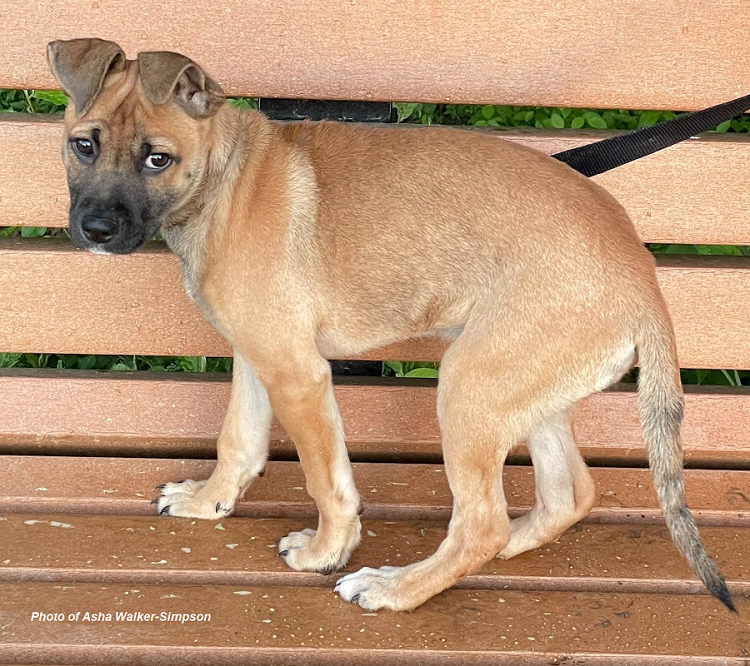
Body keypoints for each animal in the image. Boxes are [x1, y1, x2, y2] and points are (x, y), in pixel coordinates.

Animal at [47, 35, 736, 608]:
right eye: (84, 145)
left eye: (157, 160)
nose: (95, 231)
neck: (226, 176)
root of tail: (643, 279)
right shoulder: (258, 355)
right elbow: (237, 439)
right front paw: (207, 502)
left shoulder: (297, 374)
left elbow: (326, 479)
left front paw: (327, 551)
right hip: (523, 390)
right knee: (567, 494)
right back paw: (506, 546)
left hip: (469, 386)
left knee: (481, 521)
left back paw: (398, 588)